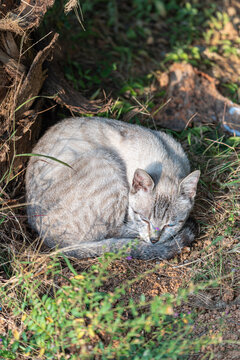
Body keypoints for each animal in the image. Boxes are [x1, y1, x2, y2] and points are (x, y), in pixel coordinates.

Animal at [25, 116, 200, 260]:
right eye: (144, 219)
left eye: (170, 224)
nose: (154, 240)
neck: (166, 158)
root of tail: (52, 242)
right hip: (105, 162)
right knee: (111, 232)